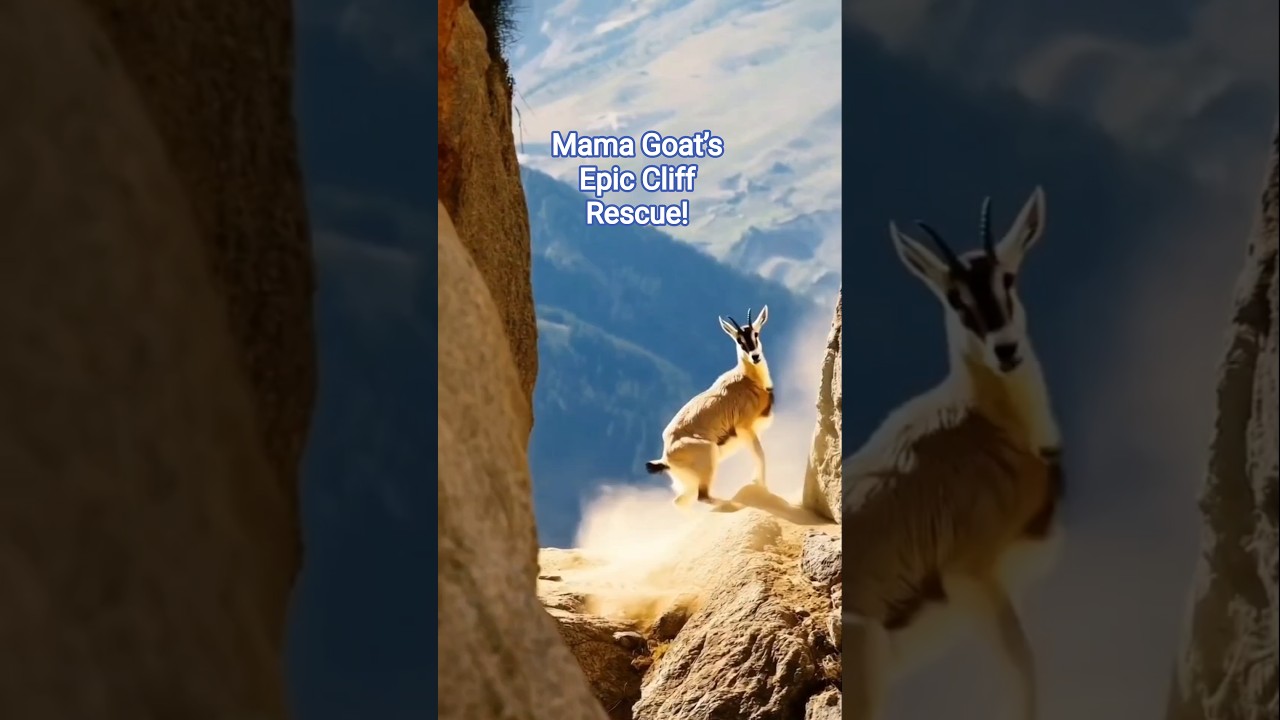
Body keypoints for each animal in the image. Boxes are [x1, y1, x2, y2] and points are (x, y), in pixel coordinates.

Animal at [645, 306, 776, 507]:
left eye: (756, 333)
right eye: (739, 340)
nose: (755, 356)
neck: (749, 379)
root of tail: (666, 456)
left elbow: (758, 457)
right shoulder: (746, 429)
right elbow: (760, 457)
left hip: (687, 484)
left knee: (680, 502)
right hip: (709, 460)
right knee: (703, 497)